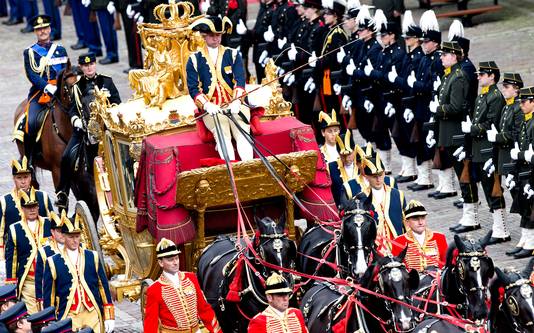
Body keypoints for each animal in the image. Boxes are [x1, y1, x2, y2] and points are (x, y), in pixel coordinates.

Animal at [14, 61, 100, 220]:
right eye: (69, 85)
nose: (87, 108)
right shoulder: (57, 170)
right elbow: (63, 200)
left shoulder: (80, 173)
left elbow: (91, 201)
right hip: (28, 161)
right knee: (33, 184)